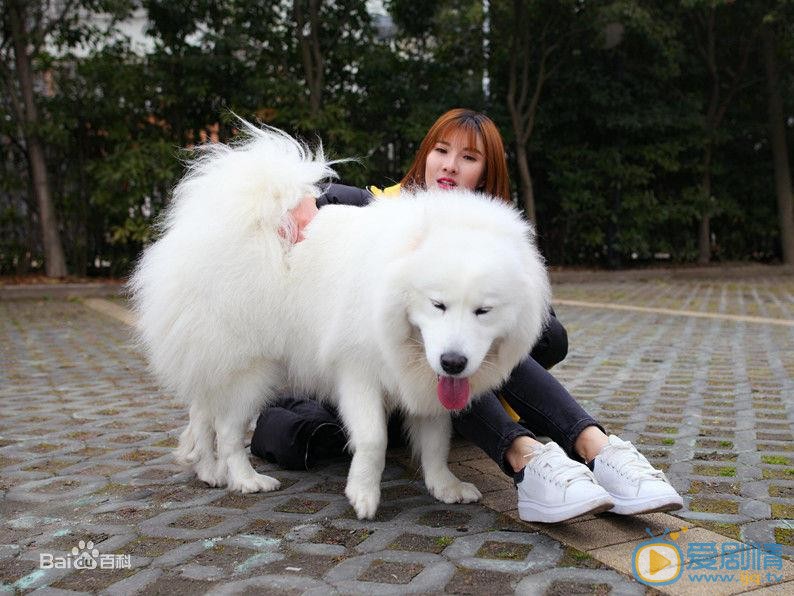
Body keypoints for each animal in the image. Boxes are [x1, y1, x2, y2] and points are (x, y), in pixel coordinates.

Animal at [130, 121, 552, 516]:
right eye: (438, 305)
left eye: (483, 311)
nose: (453, 362)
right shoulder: (358, 371)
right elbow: (374, 439)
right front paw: (363, 495)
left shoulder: (425, 385)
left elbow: (436, 442)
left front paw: (444, 486)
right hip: (251, 369)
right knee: (228, 429)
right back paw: (246, 480)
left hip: (219, 360)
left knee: (202, 412)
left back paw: (209, 471)